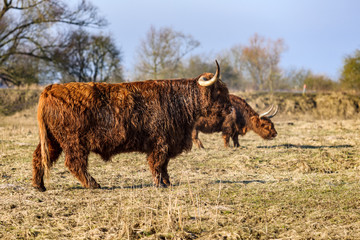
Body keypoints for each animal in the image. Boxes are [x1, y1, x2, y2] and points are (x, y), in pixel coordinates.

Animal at [32, 60, 232, 191]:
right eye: (219, 91)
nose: (231, 108)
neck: (179, 101)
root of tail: (50, 89)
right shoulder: (161, 141)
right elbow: (158, 162)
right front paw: (159, 184)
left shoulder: (167, 142)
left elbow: (164, 164)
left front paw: (167, 182)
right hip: (73, 141)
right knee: (74, 163)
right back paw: (94, 184)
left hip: (53, 140)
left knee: (39, 157)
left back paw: (38, 185)